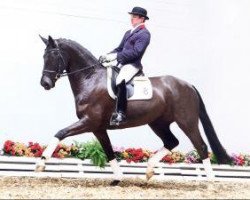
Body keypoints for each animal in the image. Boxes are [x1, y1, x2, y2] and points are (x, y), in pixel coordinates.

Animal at [35, 35, 230, 184]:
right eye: (44, 56)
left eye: (54, 56)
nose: (45, 83)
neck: (90, 79)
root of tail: (188, 85)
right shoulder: (98, 128)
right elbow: (109, 151)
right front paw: (118, 178)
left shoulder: (89, 121)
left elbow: (60, 133)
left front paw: (41, 163)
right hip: (158, 123)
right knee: (172, 142)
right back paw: (149, 170)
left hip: (187, 121)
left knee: (201, 146)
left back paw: (210, 182)